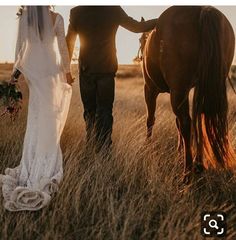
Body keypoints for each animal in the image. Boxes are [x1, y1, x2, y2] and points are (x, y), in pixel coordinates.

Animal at [139, 6, 235, 180]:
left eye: (141, 40)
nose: (140, 57)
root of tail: (203, 9)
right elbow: (178, 123)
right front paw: (180, 150)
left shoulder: (150, 89)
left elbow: (150, 119)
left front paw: (147, 145)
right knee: (199, 119)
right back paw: (198, 164)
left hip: (177, 90)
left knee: (186, 123)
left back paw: (188, 172)